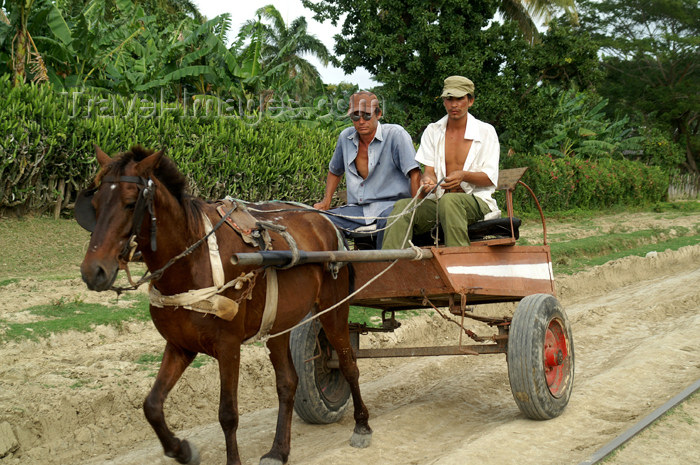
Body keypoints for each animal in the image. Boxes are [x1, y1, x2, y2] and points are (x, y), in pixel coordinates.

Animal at [78, 146, 372, 464]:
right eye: (94, 204)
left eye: (131, 204)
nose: (93, 271)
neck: (192, 262)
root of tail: (325, 221)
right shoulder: (180, 345)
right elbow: (152, 405)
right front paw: (181, 450)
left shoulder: (228, 346)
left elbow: (228, 414)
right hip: (278, 324)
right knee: (288, 383)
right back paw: (278, 450)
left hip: (334, 309)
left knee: (348, 365)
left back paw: (362, 425)